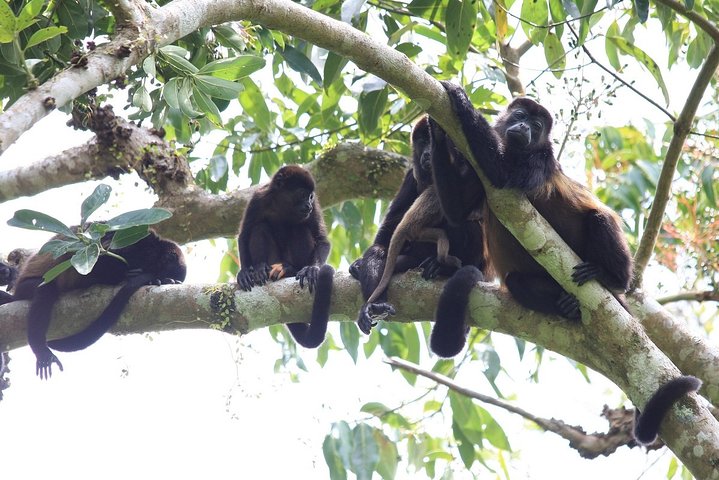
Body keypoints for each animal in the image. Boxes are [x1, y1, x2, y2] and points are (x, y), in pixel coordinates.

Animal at [10, 230, 186, 379]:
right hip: (26, 287)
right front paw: (147, 277)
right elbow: (99, 259)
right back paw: (41, 351)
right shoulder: (135, 244)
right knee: (46, 289)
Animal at [237, 165, 334, 349]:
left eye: (311, 196)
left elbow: (322, 240)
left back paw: (290, 269)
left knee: (300, 228)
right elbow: (244, 235)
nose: (308, 205)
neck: (282, 206)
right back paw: (261, 269)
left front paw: (312, 269)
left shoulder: (316, 206)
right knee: (259, 227)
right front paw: (244, 272)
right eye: (302, 194)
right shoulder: (257, 199)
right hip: (274, 258)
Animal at [433, 81, 702, 446]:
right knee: (517, 282)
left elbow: (503, 176)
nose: (523, 128)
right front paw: (434, 133)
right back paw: (567, 306)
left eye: (536, 127)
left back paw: (610, 278)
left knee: (600, 219)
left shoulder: (542, 160)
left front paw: (461, 102)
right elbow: (458, 210)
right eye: (519, 116)